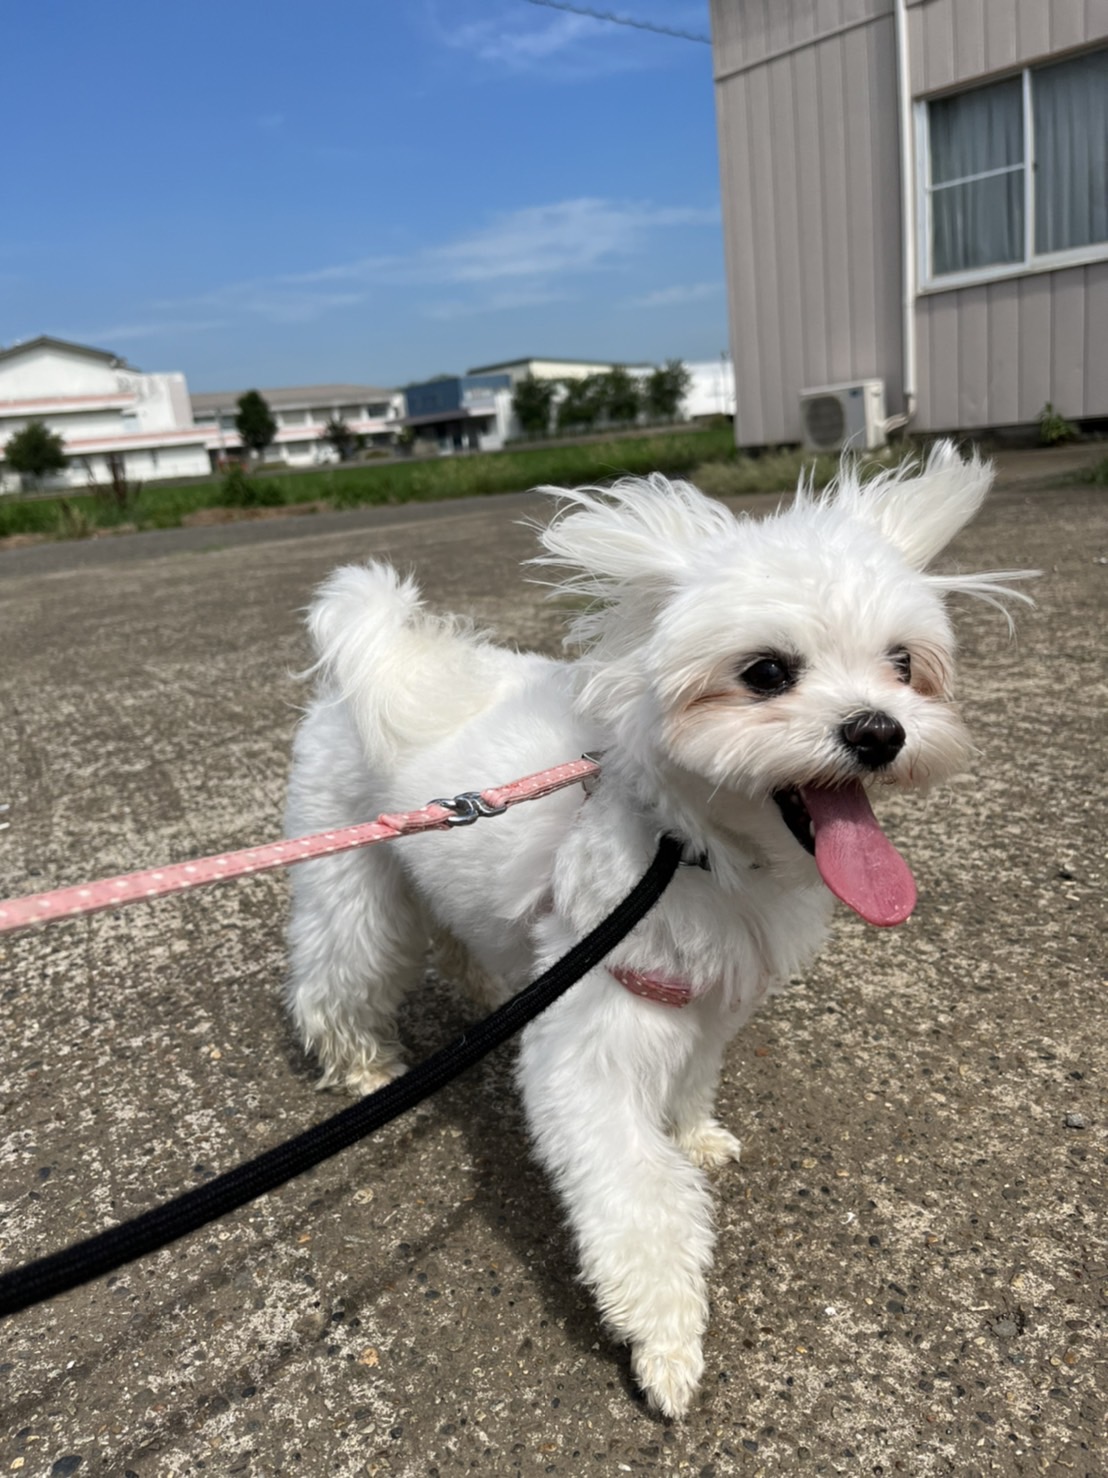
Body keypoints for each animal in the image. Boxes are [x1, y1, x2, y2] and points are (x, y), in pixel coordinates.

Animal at [283, 442, 1031, 1417]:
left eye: (904, 664)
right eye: (766, 673)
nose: (879, 731)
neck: (693, 854)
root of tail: (381, 658)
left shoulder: (706, 998)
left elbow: (693, 1081)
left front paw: (694, 1134)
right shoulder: (596, 1042)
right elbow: (637, 1195)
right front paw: (667, 1343)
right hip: (351, 881)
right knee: (338, 974)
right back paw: (363, 1064)